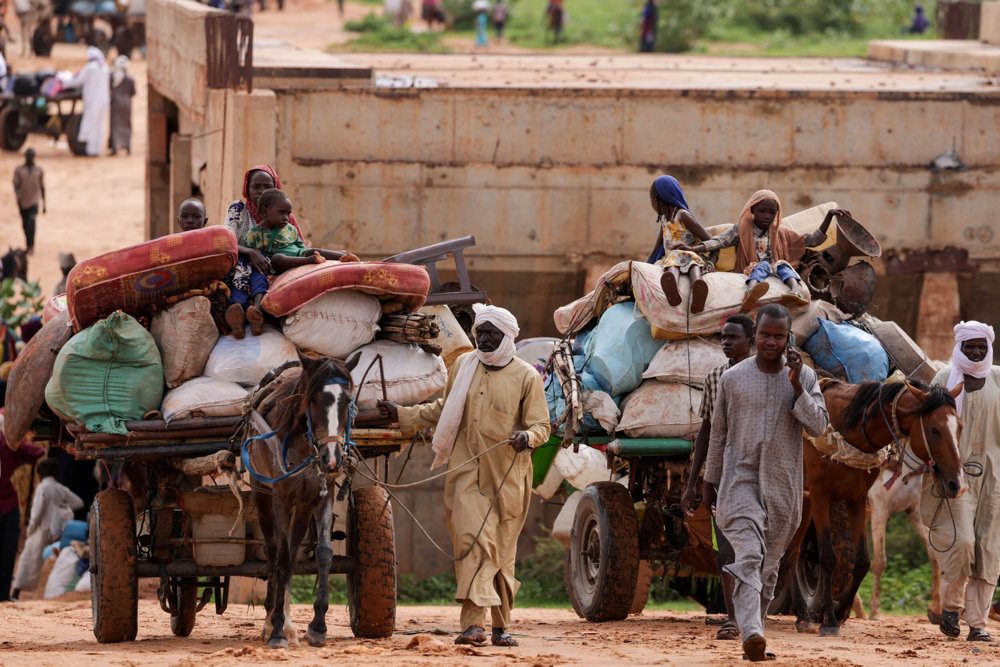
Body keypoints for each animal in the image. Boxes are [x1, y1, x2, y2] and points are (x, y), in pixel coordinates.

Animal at [788, 380, 960, 636]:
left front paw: (936, 609)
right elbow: (837, 558)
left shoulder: (865, 501)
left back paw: (804, 614)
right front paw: (836, 618)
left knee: (792, 552)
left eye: (959, 428)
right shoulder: (839, 499)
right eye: (934, 430)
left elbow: (866, 561)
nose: (954, 483)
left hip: (804, 501)